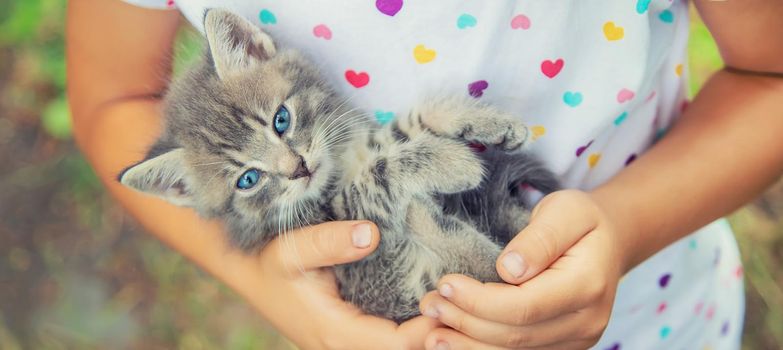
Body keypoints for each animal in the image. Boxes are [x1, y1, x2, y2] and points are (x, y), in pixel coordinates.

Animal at [118, 8, 556, 322]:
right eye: (248, 179)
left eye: (281, 119)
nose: (298, 168)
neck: (337, 167)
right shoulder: (362, 246)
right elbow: (378, 175)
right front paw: (452, 163)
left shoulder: (367, 144)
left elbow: (405, 129)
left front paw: (489, 124)